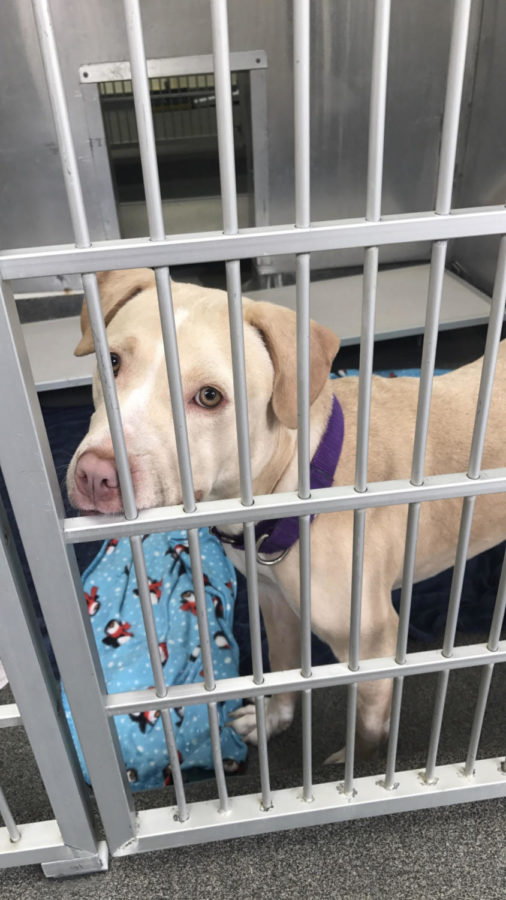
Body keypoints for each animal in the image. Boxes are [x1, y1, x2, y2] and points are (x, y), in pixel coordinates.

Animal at [66, 268, 506, 760]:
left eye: (210, 396)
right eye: (112, 362)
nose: (95, 475)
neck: (298, 484)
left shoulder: (372, 642)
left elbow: (369, 724)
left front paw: (355, 762)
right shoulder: (273, 604)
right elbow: (282, 670)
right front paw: (272, 720)